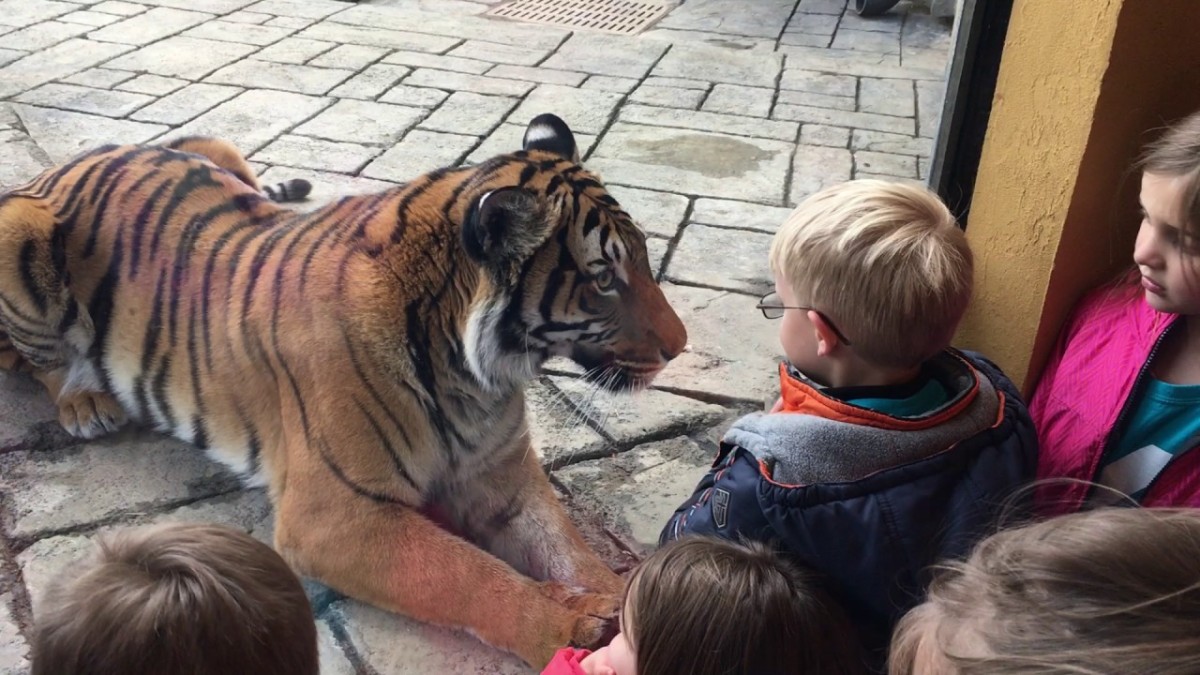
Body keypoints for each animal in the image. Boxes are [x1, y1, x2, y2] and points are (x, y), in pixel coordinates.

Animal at [0, 113, 688, 667]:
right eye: (604, 279)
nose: (680, 346)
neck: (476, 374)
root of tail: (68, 163)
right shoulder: (334, 514)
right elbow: (467, 575)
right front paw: (569, 622)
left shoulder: (503, 474)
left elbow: (564, 544)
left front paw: (627, 599)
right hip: (18, 236)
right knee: (33, 358)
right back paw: (86, 400)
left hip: (215, 148)